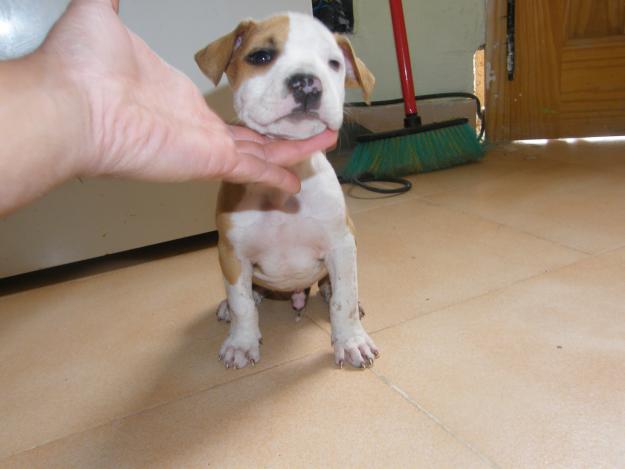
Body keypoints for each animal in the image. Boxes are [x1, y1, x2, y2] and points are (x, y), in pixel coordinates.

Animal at [195, 11, 378, 370]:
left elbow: (345, 300)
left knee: (333, 288)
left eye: (333, 63)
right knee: (245, 295)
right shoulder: (232, 253)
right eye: (261, 57)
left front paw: (350, 340)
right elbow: (241, 304)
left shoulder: (341, 243)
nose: (307, 82)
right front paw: (242, 343)